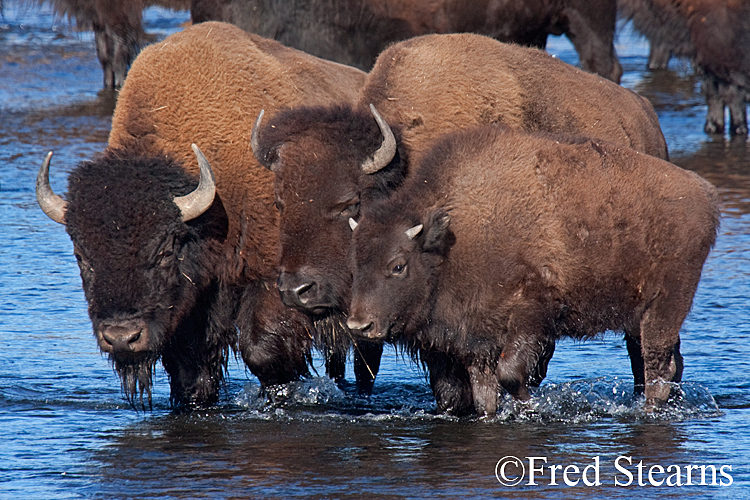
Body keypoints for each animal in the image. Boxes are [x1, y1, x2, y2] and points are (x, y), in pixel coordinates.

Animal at [38, 21, 374, 408]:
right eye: (82, 256)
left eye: (165, 250)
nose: (122, 337)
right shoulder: (191, 310)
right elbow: (191, 369)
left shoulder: (273, 277)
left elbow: (263, 350)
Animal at [346, 124, 724, 414]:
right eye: (355, 263)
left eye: (398, 265)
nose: (359, 325)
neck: (459, 231)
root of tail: (704, 193)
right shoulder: (477, 340)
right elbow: (485, 393)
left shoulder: (531, 316)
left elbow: (512, 373)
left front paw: (531, 406)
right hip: (640, 315)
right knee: (668, 364)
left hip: (666, 306)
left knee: (657, 366)